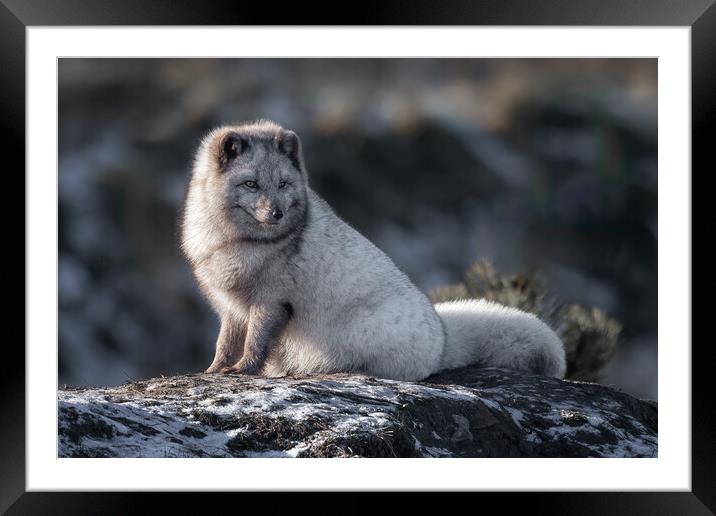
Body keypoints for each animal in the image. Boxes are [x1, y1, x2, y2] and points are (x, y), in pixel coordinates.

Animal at [179, 119, 564, 380]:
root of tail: (442, 339)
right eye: (251, 184)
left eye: (284, 184)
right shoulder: (230, 308)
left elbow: (255, 343)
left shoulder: (270, 302)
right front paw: (213, 370)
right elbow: (225, 343)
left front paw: (243, 369)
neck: (237, 244)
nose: (277, 213)